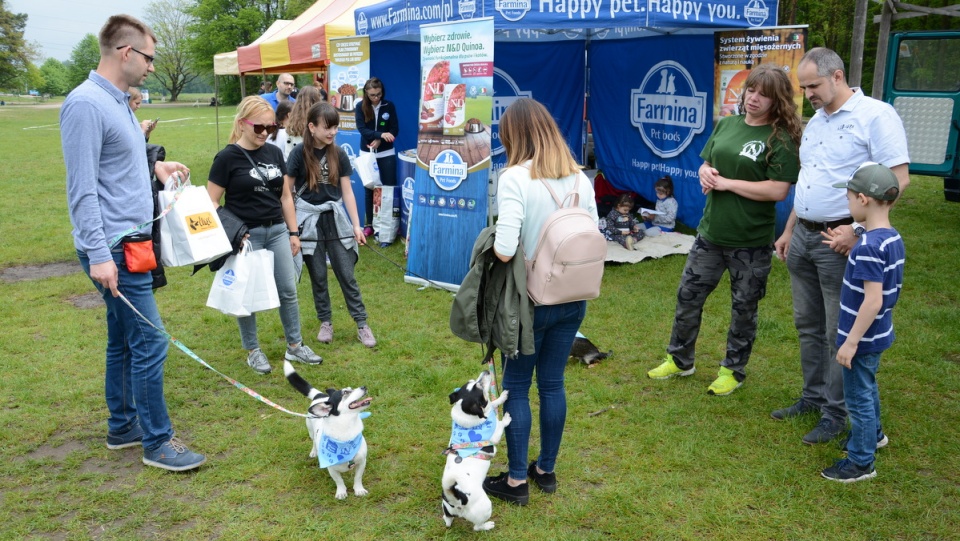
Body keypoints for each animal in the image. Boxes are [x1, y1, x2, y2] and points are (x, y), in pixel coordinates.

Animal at [282, 360, 372, 500]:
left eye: (351, 388)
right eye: (345, 393)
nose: (364, 386)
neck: (346, 428)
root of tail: (321, 396)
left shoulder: (362, 462)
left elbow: (358, 477)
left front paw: (359, 490)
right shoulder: (331, 469)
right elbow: (339, 481)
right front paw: (341, 492)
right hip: (311, 431)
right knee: (313, 441)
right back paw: (314, 452)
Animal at [440, 370, 510, 528]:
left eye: (473, 381)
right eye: (480, 387)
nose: (487, 371)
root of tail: (457, 501)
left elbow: (493, 402)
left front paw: (502, 396)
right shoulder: (494, 435)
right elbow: (500, 423)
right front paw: (506, 418)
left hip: (446, 509)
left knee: (447, 519)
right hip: (485, 507)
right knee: (477, 527)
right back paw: (488, 525)